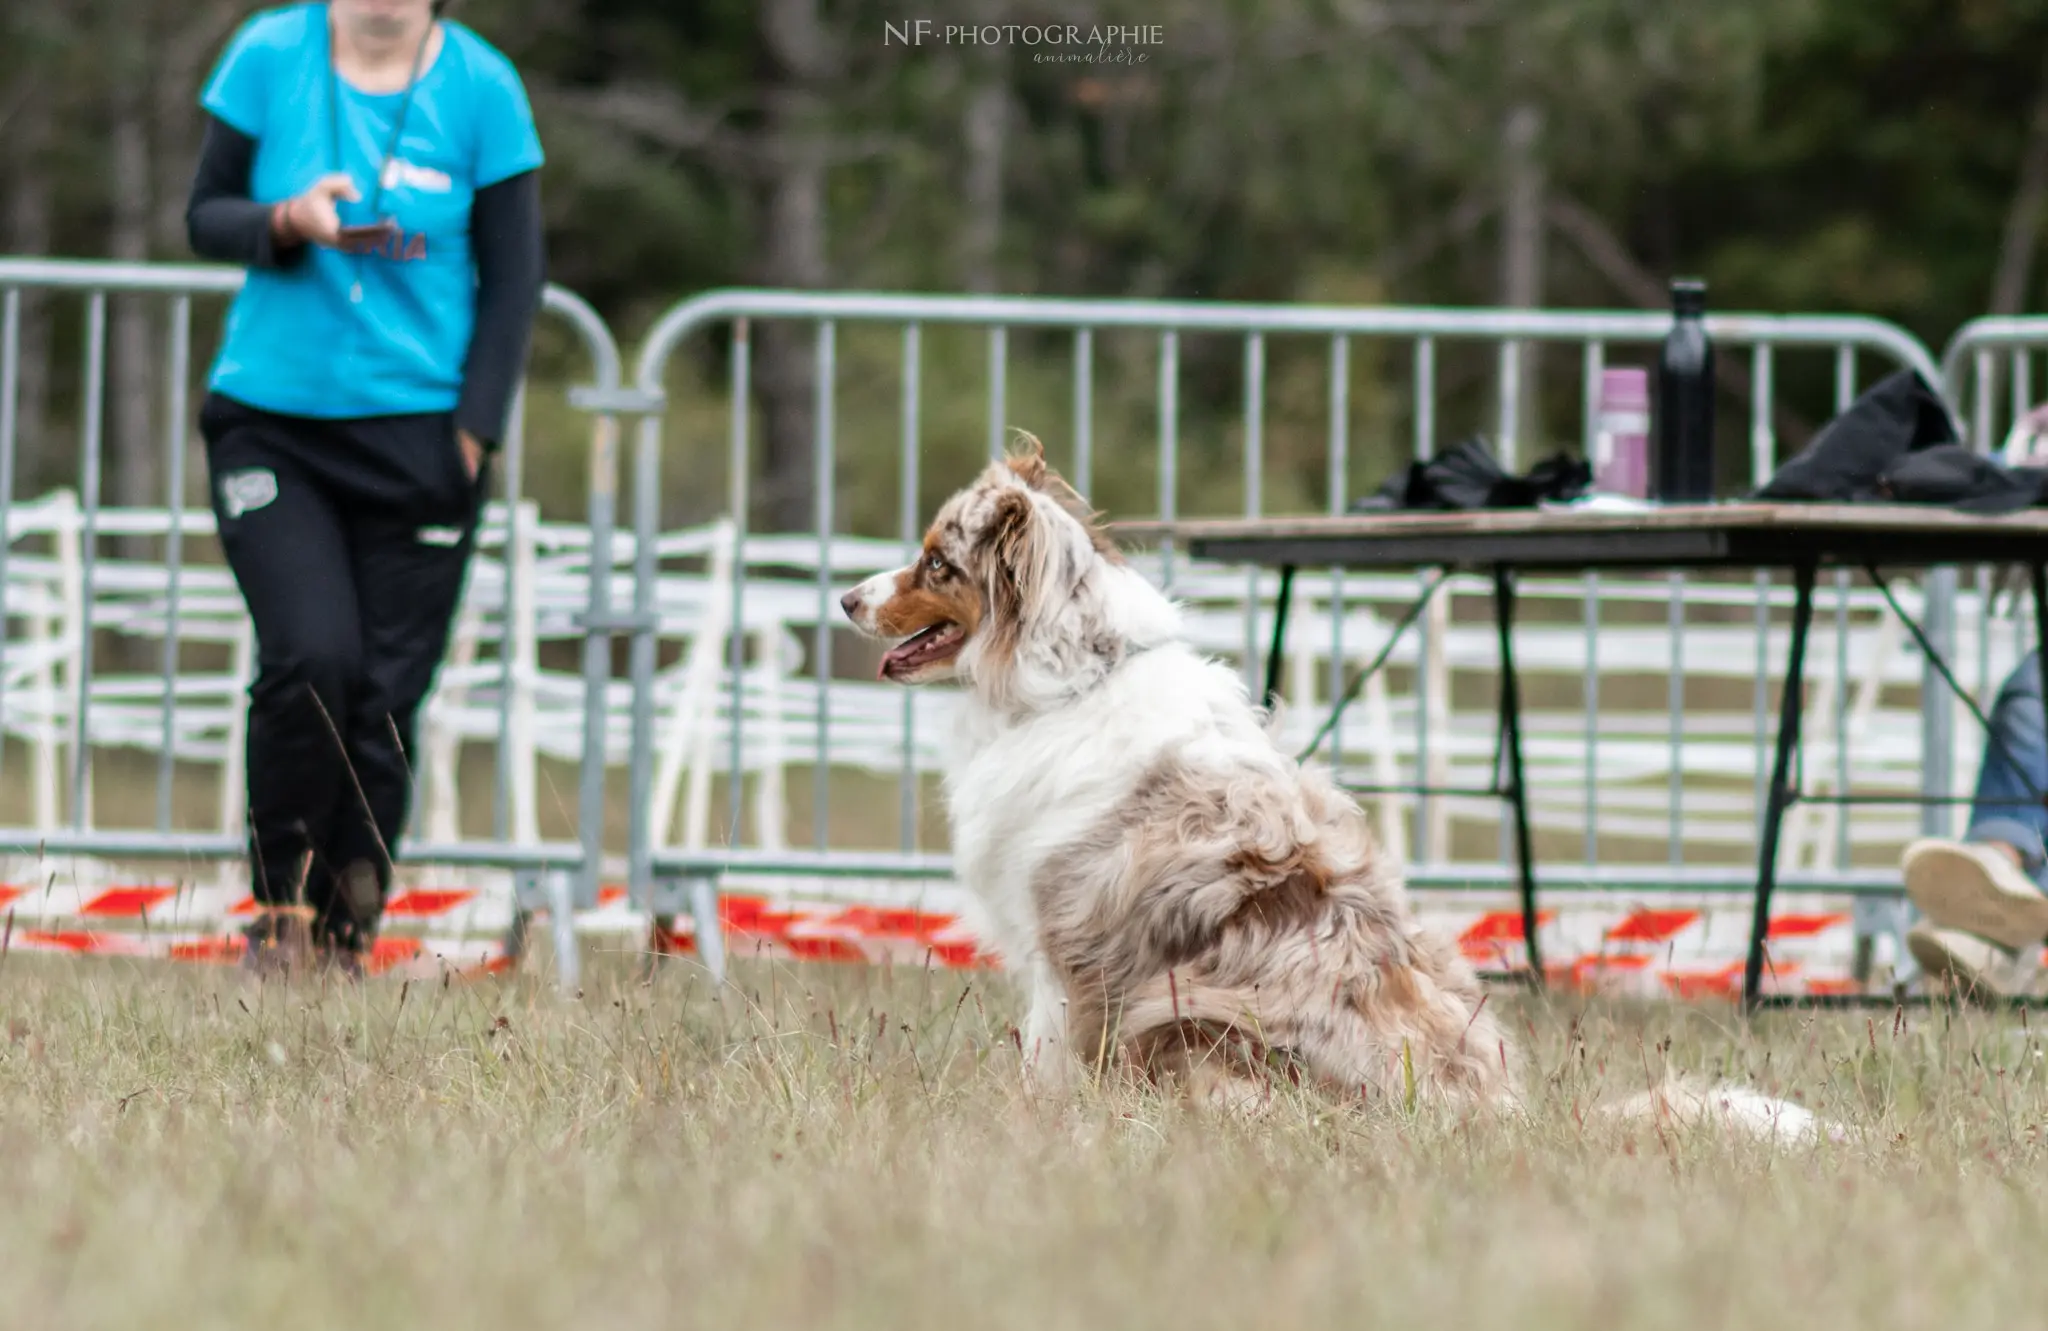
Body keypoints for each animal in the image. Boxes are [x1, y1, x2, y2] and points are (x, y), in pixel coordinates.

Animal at [839, 438, 1835, 1138]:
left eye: (936, 563)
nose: (846, 598)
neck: (1075, 677)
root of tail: (1501, 1116)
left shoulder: (1066, 948)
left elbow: (1046, 1055)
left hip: (1201, 1027)